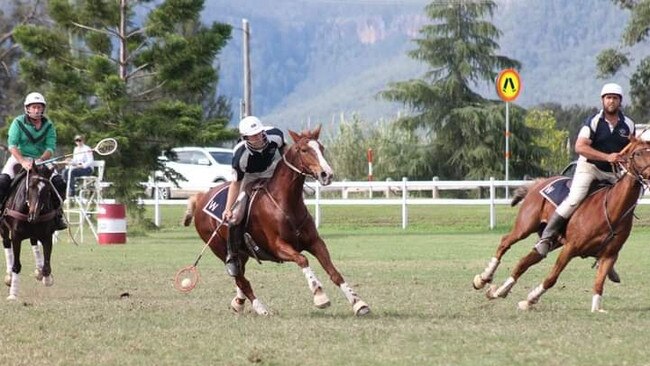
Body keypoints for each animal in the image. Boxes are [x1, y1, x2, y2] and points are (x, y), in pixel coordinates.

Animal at [1, 166, 58, 300]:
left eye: (48, 189)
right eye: (31, 186)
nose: (33, 216)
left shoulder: (47, 236)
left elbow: (47, 266)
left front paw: (47, 279)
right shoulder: (16, 236)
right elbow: (16, 265)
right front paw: (13, 294)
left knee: (33, 242)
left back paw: (38, 271)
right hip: (4, 229)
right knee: (6, 243)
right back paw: (9, 276)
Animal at [182, 126, 370, 314]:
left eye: (321, 148)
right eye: (304, 150)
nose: (327, 174)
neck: (286, 202)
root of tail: (202, 197)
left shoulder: (315, 242)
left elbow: (333, 272)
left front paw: (358, 302)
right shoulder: (277, 247)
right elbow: (302, 259)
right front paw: (320, 295)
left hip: (242, 253)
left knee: (241, 276)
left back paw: (238, 302)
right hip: (219, 248)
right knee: (241, 279)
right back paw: (261, 309)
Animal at [470, 137, 648, 312]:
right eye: (638, 153)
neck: (612, 210)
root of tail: (539, 183)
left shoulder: (609, 255)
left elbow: (599, 284)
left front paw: (597, 309)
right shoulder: (570, 248)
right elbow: (552, 278)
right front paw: (530, 300)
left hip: (552, 239)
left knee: (525, 260)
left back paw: (498, 291)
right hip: (525, 226)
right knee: (505, 242)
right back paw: (483, 279)